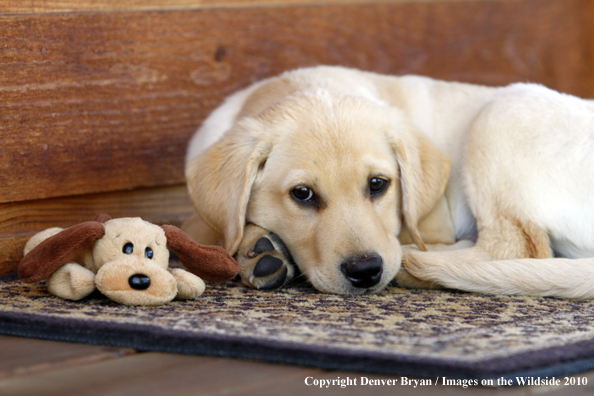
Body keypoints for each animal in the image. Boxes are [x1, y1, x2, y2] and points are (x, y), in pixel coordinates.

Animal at [183, 66, 592, 298]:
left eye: (378, 184)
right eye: (302, 194)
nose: (366, 272)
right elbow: (201, 227)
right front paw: (255, 248)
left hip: (501, 112)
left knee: (515, 247)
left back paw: (415, 266)